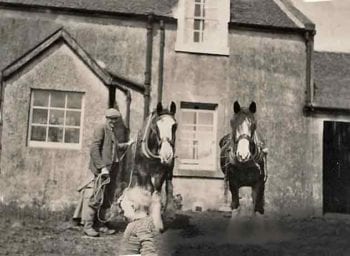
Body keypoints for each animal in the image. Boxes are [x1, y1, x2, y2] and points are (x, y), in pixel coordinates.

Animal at [134, 101, 178, 231]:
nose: (167, 154)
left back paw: (169, 212)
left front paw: (157, 221)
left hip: (169, 169)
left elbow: (157, 192)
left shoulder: (160, 172)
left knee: (168, 186)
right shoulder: (142, 171)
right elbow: (146, 191)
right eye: (156, 127)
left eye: (174, 126)